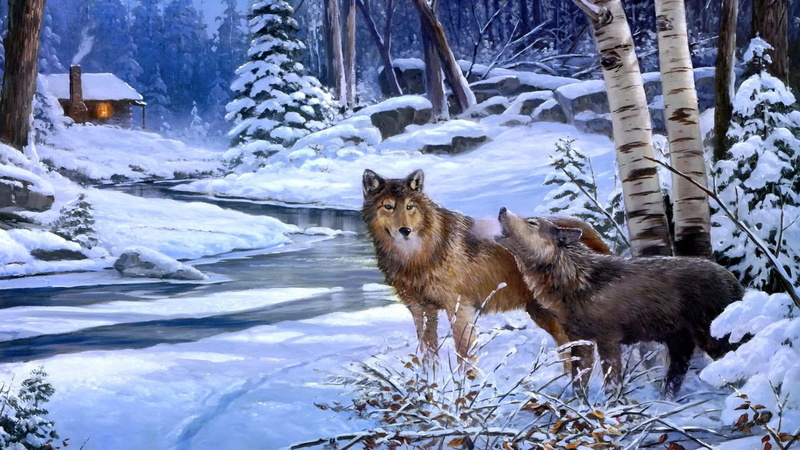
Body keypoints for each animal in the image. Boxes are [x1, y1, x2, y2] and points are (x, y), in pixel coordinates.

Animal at [361, 169, 611, 365]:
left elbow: (464, 356)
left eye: (410, 206)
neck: (416, 256)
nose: (405, 230)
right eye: (388, 206)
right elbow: (428, 356)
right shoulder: (420, 310)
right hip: (542, 315)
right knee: (568, 352)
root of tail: (582, 225)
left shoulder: (459, 309)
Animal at [496, 207, 744, 396]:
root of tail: (735, 282)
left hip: (710, 340)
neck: (575, 281)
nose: (502, 209)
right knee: (676, 376)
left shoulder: (609, 340)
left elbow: (611, 382)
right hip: (679, 342)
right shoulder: (580, 341)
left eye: (532, 222)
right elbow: (578, 381)